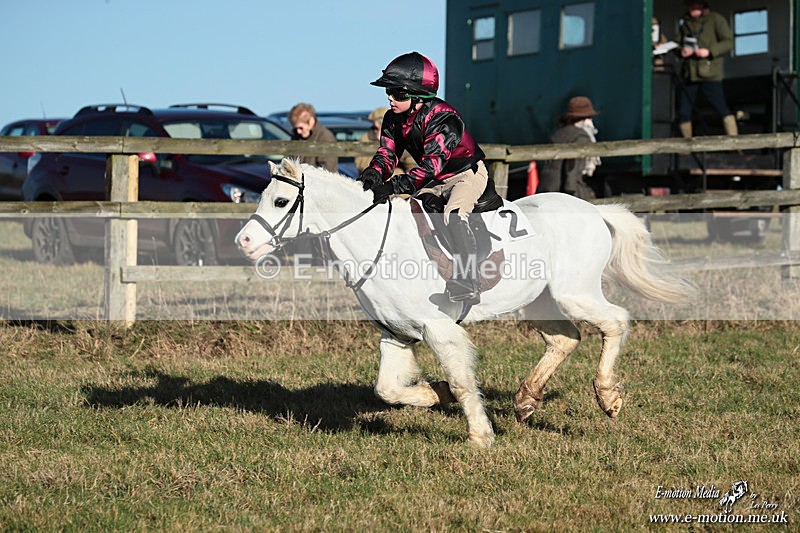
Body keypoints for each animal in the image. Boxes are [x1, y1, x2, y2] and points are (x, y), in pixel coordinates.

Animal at [235, 158, 694, 448]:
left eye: (280, 202)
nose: (244, 241)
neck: (377, 242)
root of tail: (596, 211)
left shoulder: (439, 329)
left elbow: (458, 379)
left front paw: (479, 436)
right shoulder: (396, 335)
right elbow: (387, 389)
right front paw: (435, 395)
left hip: (574, 292)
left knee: (615, 321)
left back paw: (608, 397)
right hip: (540, 300)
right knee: (565, 338)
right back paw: (526, 400)